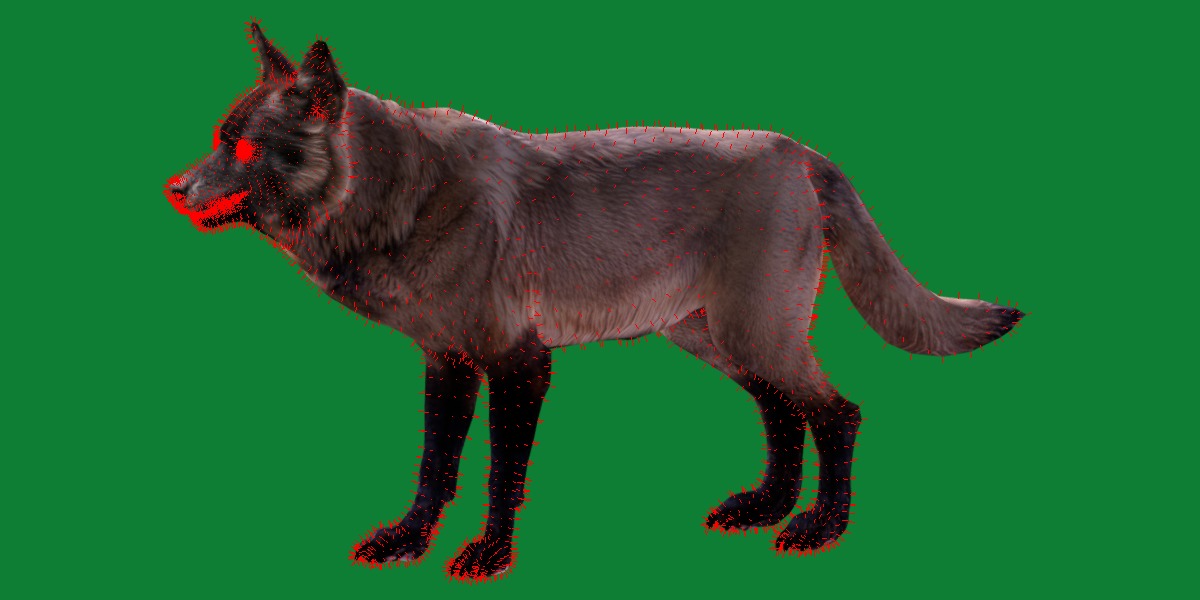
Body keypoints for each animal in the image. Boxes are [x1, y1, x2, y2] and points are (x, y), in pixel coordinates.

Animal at [165, 22, 1024, 581]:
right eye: (217, 138)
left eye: (245, 149)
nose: (174, 188)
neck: (400, 195)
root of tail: (800, 152)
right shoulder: (447, 363)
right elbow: (434, 466)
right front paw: (408, 541)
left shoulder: (518, 366)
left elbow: (498, 473)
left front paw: (489, 556)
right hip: (721, 340)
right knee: (782, 412)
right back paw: (765, 509)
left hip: (755, 335)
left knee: (837, 414)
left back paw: (818, 529)